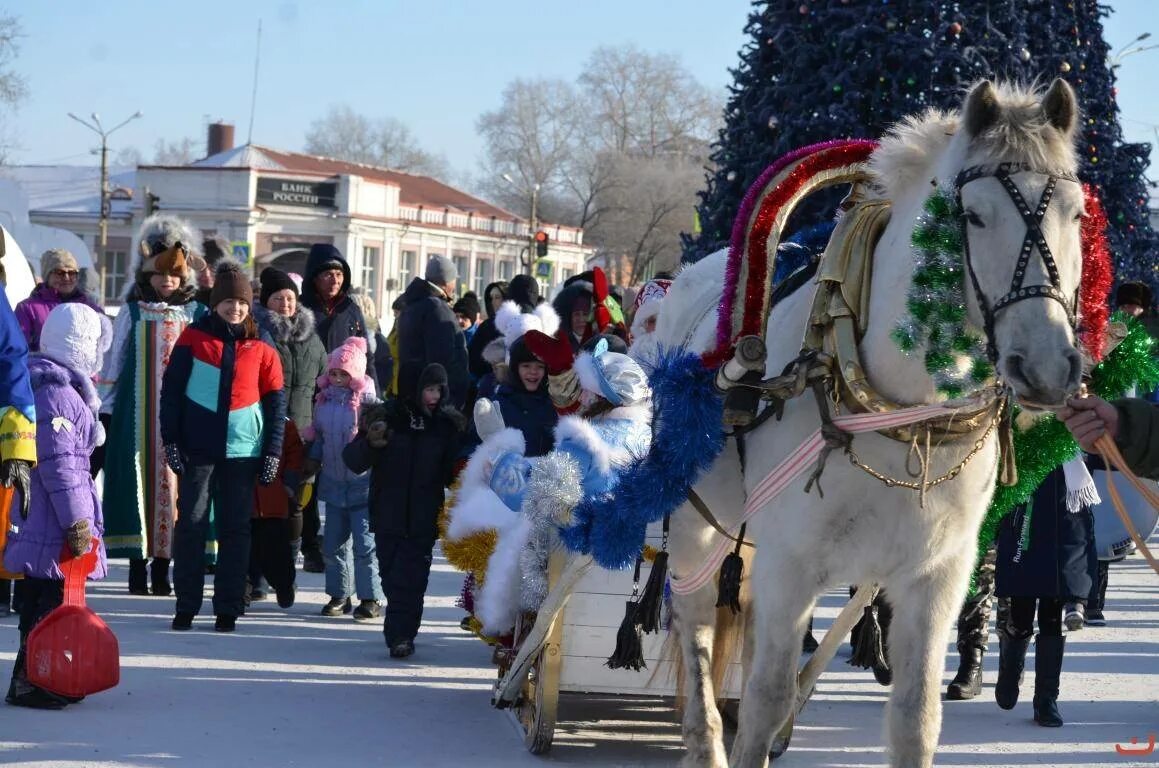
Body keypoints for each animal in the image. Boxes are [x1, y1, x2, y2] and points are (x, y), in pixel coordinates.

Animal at [662, 79, 1084, 768]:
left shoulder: (937, 574)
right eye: (973, 216)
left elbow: (915, 716)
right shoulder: (791, 562)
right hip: (695, 525)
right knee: (693, 625)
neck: (905, 416)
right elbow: (768, 697)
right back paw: (705, 741)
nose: (1048, 366)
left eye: (1077, 213)